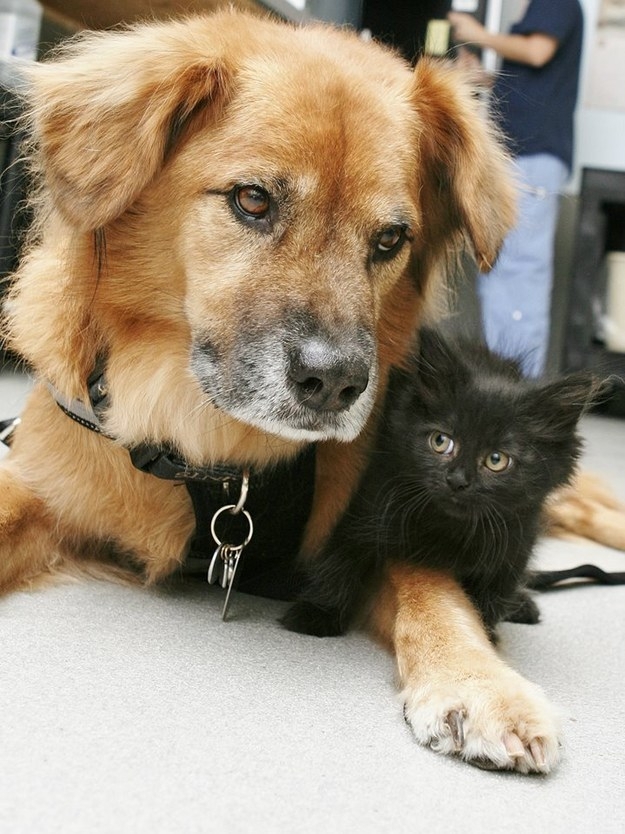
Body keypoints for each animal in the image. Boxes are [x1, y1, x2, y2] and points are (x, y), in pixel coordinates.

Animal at [282, 324, 596, 636]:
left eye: (496, 460)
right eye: (441, 441)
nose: (457, 480)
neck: (448, 527)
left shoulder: (515, 540)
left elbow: (493, 597)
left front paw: (486, 634)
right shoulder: (373, 500)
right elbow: (341, 558)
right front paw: (317, 614)